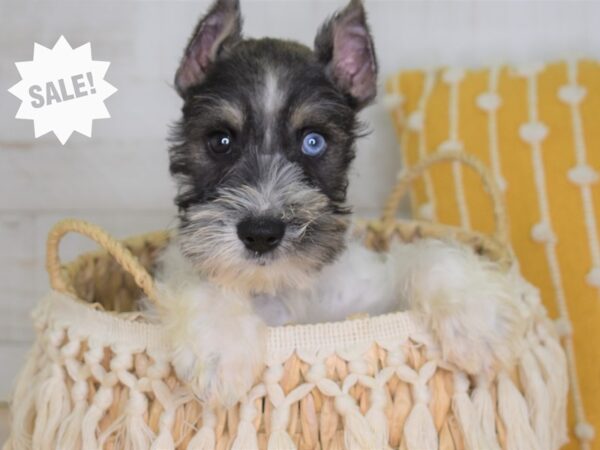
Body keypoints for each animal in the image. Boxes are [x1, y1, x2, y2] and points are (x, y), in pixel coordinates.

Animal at [154, 0, 524, 408]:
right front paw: (221, 350)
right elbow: (204, 275)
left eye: (313, 141)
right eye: (220, 141)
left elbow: (422, 254)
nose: (261, 233)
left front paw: (481, 323)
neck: (285, 288)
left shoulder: (368, 298)